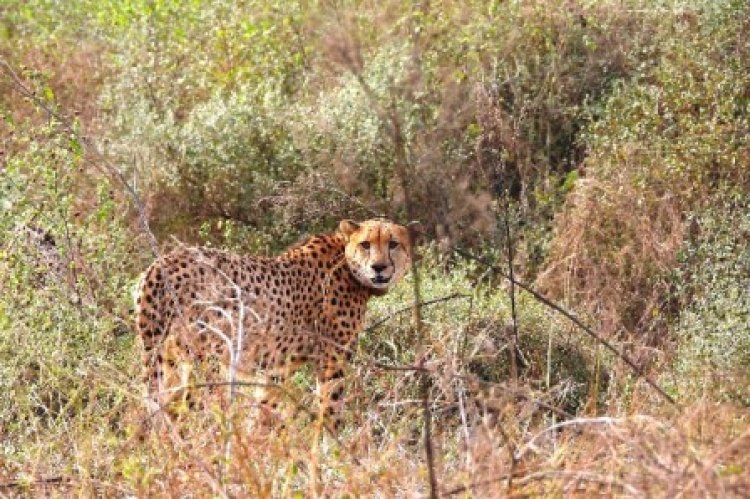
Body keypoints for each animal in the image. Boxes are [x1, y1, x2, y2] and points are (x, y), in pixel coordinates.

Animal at [135, 219, 424, 430]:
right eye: (366, 244)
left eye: (393, 244)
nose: (379, 267)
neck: (347, 264)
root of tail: (161, 263)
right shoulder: (332, 358)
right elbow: (330, 406)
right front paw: (332, 448)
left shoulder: (278, 365)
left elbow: (266, 407)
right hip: (205, 360)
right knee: (188, 408)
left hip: (166, 358)